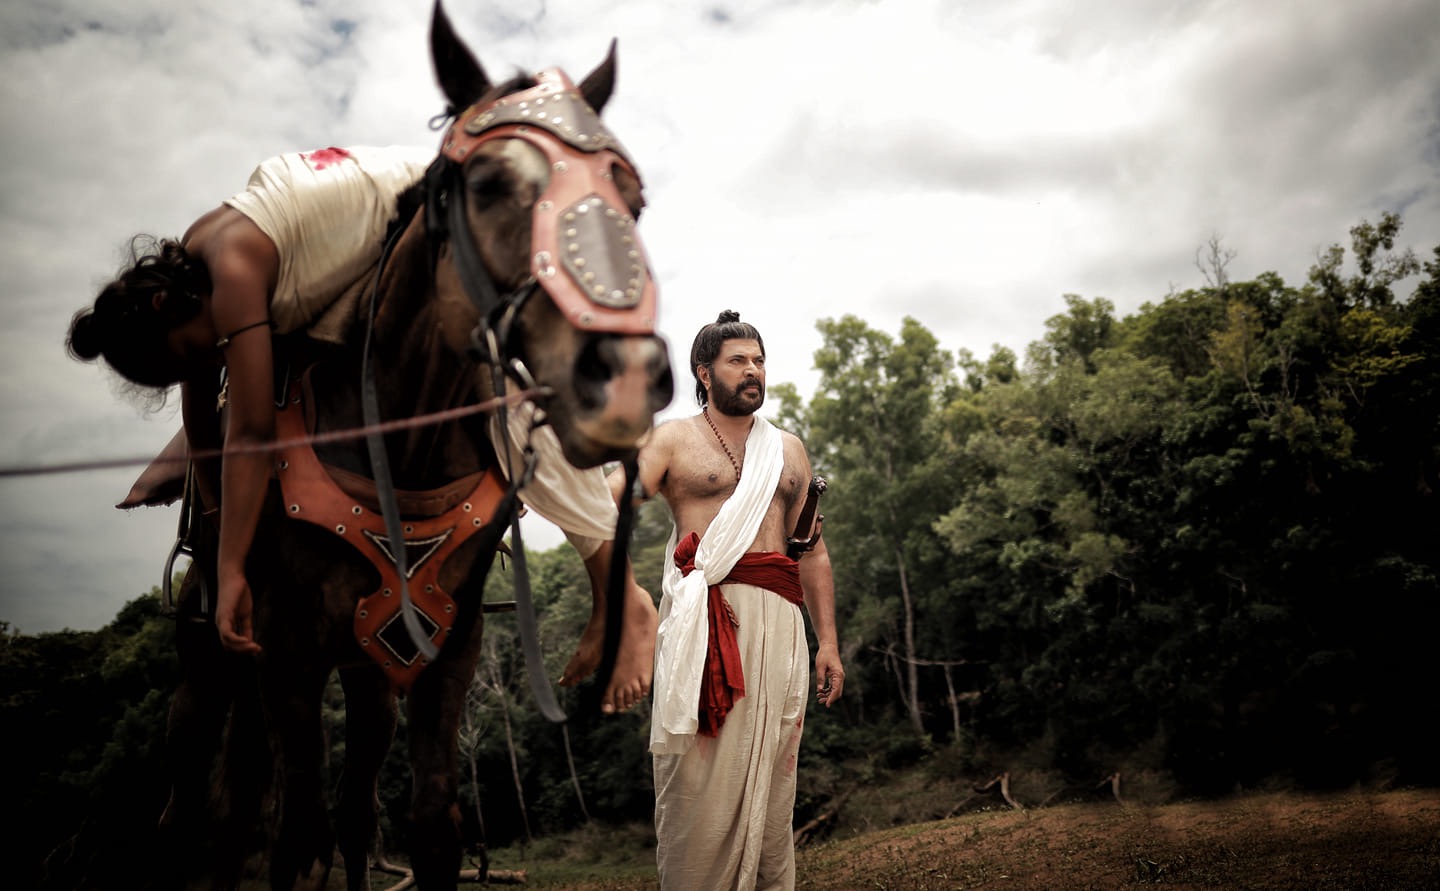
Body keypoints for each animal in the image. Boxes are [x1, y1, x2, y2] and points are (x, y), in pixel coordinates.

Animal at [143, 3, 671, 886]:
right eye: (489, 186)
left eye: (632, 200)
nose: (626, 374)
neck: (400, 448)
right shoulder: (286, 653)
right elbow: (296, 835)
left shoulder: (447, 647)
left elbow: (429, 823)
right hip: (211, 659)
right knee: (198, 808)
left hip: (369, 671)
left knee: (342, 807)